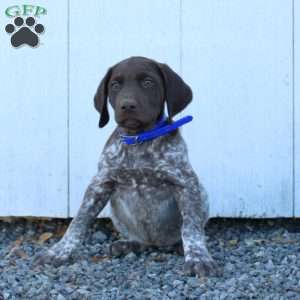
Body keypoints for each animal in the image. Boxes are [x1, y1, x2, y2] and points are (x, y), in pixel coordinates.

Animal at [34, 55, 219, 276]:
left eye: (148, 82)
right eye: (115, 85)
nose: (127, 106)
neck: (139, 139)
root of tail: (158, 244)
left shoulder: (186, 183)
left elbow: (191, 228)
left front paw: (198, 257)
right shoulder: (100, 184)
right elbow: (78, 221)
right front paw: (60, 251)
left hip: (202, 194)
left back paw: (179, 247)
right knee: (142, 242)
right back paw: (128, 244)